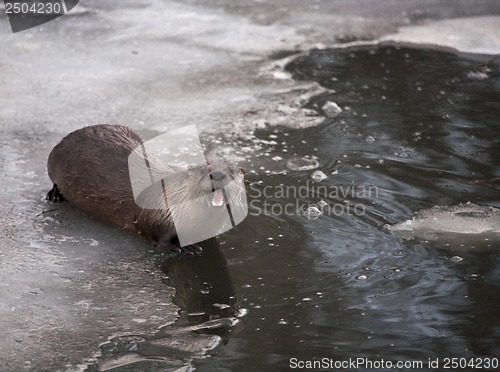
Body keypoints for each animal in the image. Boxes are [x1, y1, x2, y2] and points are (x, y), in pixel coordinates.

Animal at [46, 124, 245, 253]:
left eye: (232, 171)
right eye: (204, 169)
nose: (218, 175)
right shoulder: (157, 215)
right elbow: (159, 235)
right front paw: (185, 247)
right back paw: (55, 195)